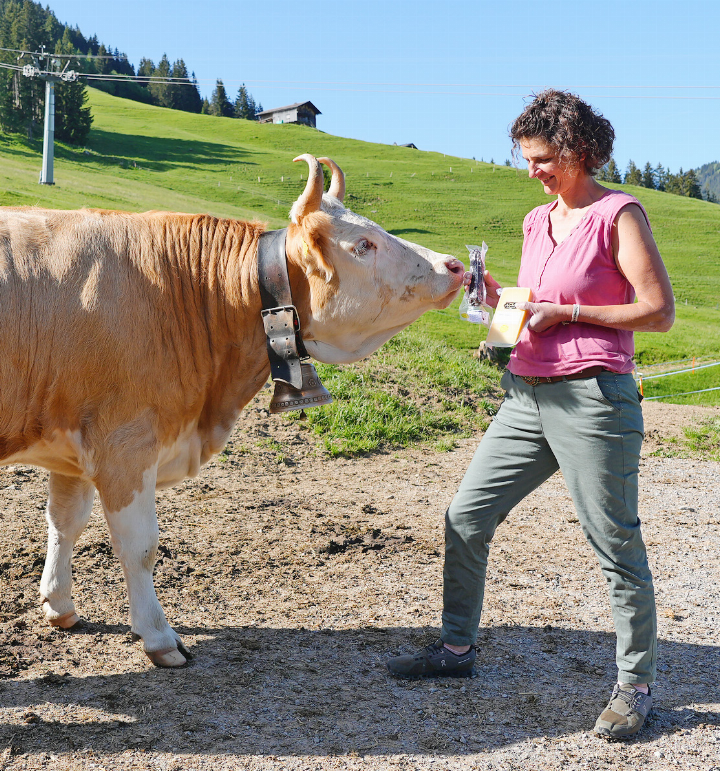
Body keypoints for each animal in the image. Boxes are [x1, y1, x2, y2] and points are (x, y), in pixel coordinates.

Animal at [0, 154, 464, 667]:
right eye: (363, 244)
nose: (455, 266)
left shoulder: (73, 444)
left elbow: (65, 523)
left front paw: (59, 604)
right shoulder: (125, 442)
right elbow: (140, 546)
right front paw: (159, 636)